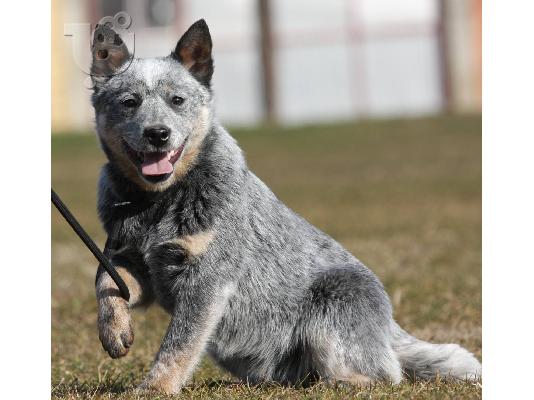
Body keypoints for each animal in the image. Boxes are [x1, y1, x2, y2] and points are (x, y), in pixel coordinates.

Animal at [90, 19, 484, 394]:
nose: (157, 133)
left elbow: (178, 345)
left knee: (384, 375)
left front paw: (155, 388)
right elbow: (106, 280)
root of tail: (389, 325)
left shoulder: (207, 280)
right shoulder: (137, 264)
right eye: (129, 102)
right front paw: (114, 331)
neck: (156, 202)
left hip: (333, 303)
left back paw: (334, 383)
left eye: (177, 100)